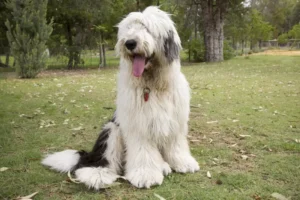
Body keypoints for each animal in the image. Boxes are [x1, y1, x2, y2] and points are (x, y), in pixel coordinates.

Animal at [41, 6, 199, 189]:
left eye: (147, 28)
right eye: (129, 28)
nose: (129, 43)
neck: (152, 85)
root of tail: (88, 154)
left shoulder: (175, 121)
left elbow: (176, 144)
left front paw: (183, 162)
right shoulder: (138, 124)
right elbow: (143, 150)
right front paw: (146, 175)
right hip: (111, 130)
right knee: (98, 161)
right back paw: (97, 175)